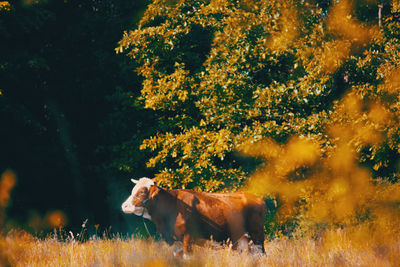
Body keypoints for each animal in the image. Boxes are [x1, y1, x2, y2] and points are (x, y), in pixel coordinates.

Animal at [122, 178, 266, 255]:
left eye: (142, 192)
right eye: (133, 190)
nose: (124, 206)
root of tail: (257, 198)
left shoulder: (188, 238)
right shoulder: (174, 242)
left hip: (257, 236)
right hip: (244, 240)